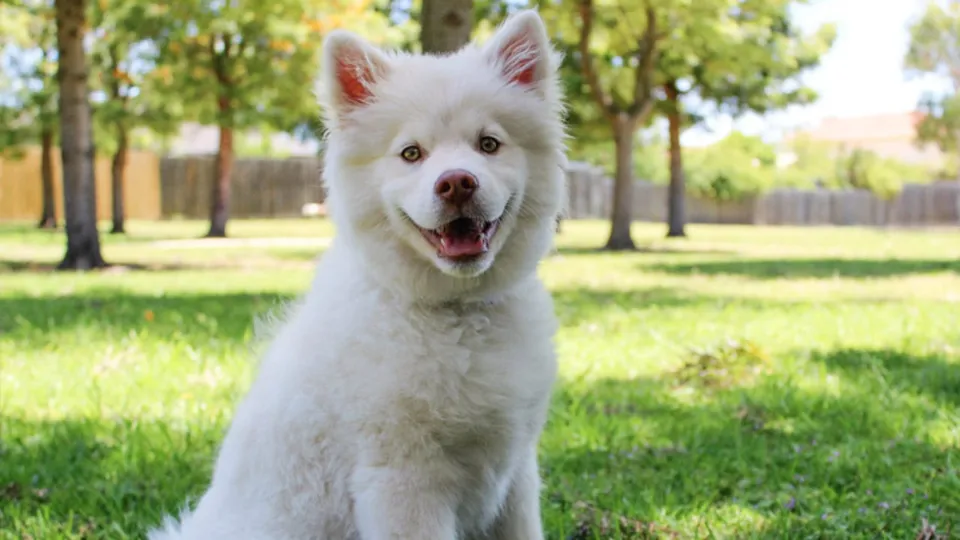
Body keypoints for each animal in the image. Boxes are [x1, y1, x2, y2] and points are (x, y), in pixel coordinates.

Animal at [150, 9, 568, 540]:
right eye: (411, 153)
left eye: (488, 144)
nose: (457, 182)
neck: (457, 311)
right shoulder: (404, 479)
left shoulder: (514, 474)